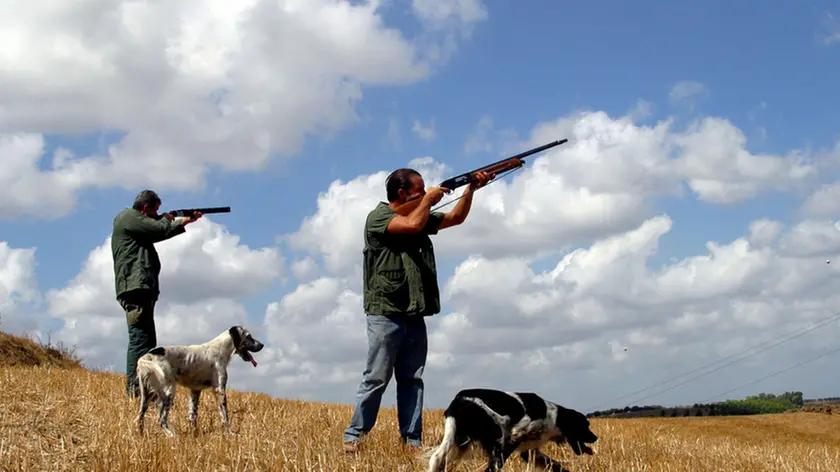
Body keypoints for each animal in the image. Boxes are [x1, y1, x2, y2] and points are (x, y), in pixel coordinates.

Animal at [426, 390, 596, 470]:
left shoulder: (529, 451)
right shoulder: (514, 437)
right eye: (585, 425)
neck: (553, 416)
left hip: (458, 443)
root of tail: (458, 401)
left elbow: (557, 466)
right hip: (498, 432)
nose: (596, 438)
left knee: (438, 460)